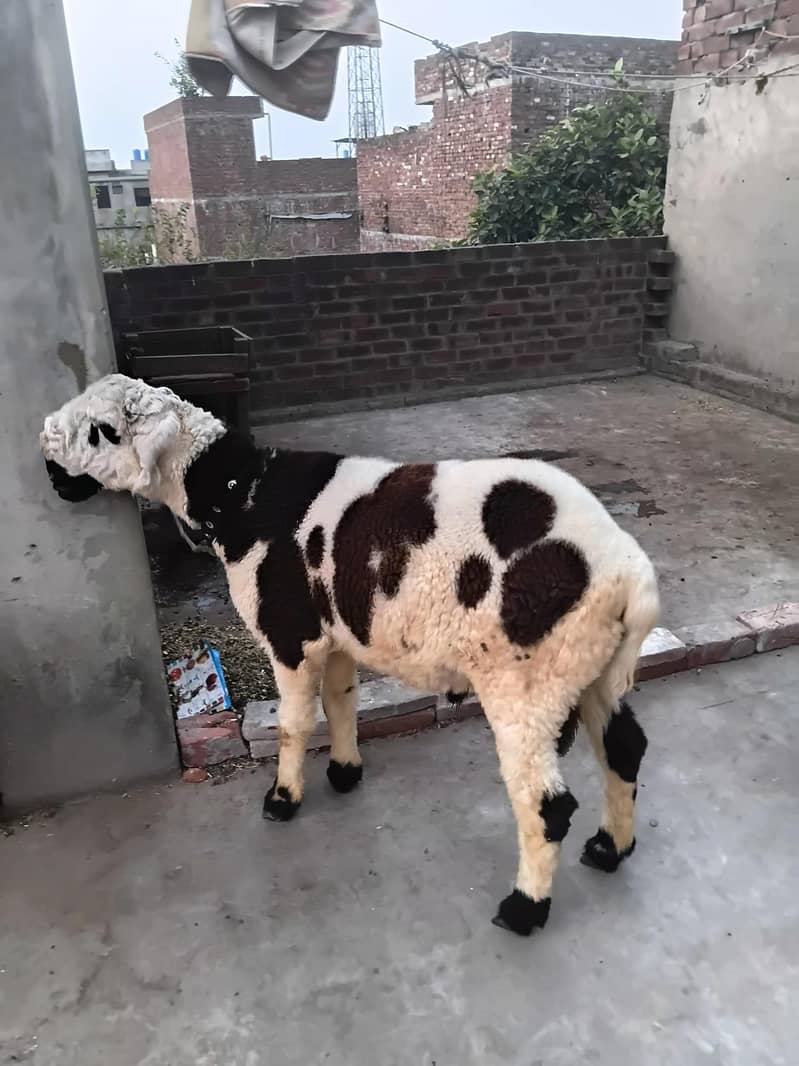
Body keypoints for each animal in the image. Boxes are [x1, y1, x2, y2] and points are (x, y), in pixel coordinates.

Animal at [41, 374, 659, 937]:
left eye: (102, 430)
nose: (46, 452)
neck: (244, 494)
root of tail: (630, 575)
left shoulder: (290, 635)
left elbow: (293, 723)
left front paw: (282, 798)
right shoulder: (334, 634)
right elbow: (340, 701)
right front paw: (344, 772)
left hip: (527, 681)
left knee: (546, 804)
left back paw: (524, 908)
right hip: (591, 666)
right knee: (625, 748)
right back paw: (609, 848)